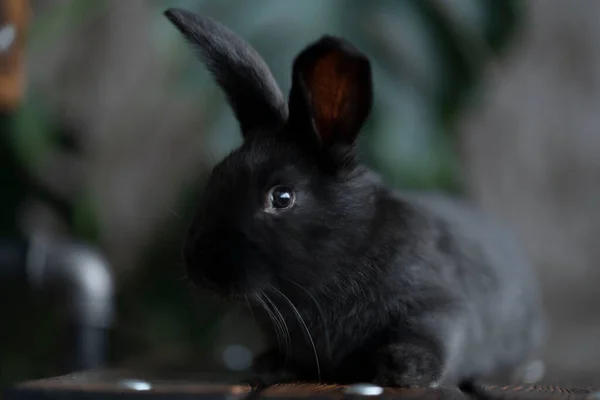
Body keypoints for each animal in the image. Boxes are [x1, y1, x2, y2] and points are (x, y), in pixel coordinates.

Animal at [163, 7, 544, 388]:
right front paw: (269, 365)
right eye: (216, 174)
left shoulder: (437, 305)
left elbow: (433, 334)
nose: (198, 261)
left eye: (282, 196)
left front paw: (405, 369)